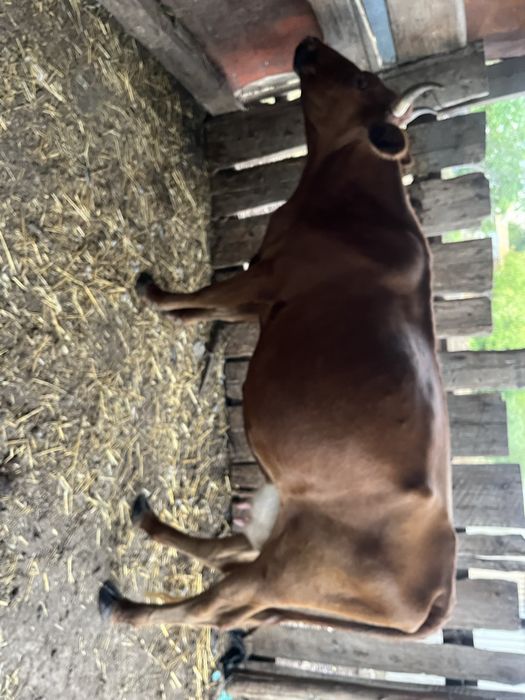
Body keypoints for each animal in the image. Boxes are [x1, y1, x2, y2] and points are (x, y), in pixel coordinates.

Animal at [99, 37, 456, 639]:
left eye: (361, 81)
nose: (309, 42)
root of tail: (442, 585)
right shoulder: (262, 290)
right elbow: (208, 307)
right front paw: (176, 316)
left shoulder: (267, 276)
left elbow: (209, 293)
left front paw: (153, 296)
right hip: (277, 533)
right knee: (227, 554)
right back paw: (148, 522)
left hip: (288, 570)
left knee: (214, 605)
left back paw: (126, 607)